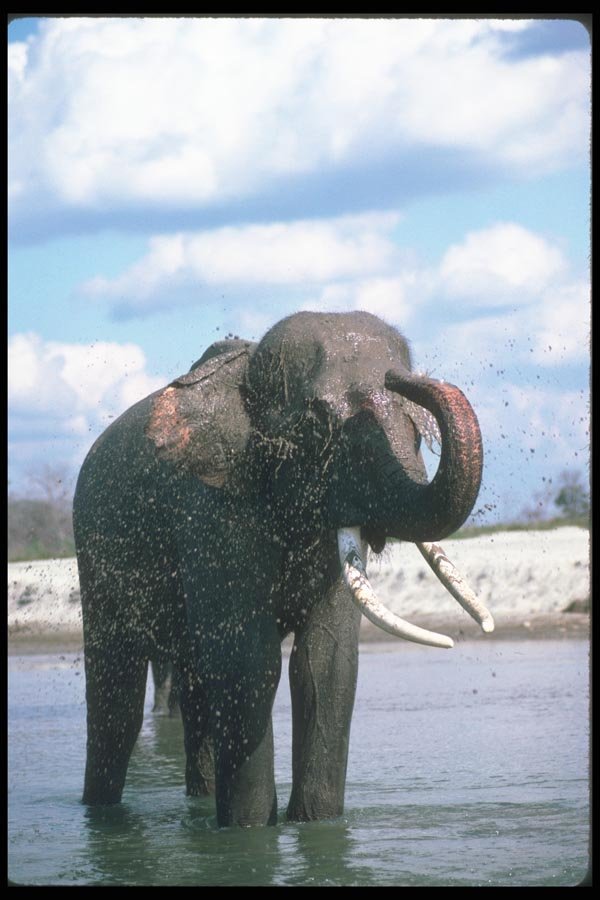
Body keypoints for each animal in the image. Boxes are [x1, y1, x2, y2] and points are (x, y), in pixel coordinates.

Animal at [73, 310, 493, 827]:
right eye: (319, 425)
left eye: (417, 431)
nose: (401, 377)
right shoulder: (212, 510)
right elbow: (249, 664)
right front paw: (249, 833)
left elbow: (326, 664)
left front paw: (318, 827)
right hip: (95, 553)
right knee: (118, 700)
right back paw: (101, 816)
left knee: (194, 685)